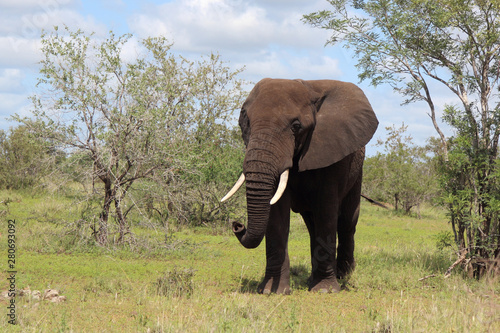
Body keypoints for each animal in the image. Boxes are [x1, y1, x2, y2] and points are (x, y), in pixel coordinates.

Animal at [221, 78, 376, 294]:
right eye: (246, 123)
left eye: (296, 126)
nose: (237, 225)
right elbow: (277, 213)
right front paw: (272, 291)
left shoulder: (332, 149)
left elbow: (327, 208)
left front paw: (325, 290)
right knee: (312, 224)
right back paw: (314, 279)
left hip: (357, 171)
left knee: (347, 220)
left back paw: (343, 275)